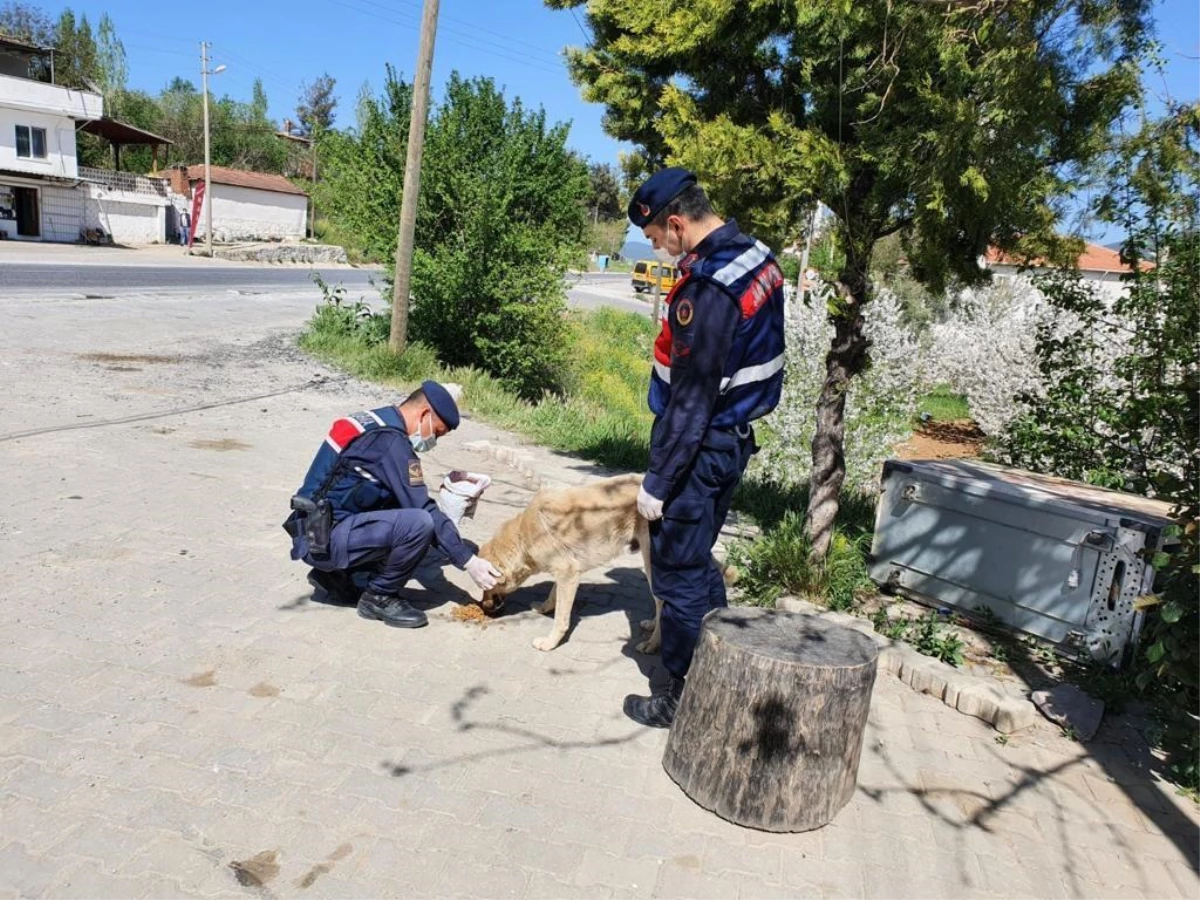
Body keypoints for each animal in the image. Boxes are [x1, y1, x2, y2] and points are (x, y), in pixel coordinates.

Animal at [475, 472, 662, 657]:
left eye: (484, 586)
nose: (483, 607)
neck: (523, 536)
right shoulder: (565, 574)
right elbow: (553, 595)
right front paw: (544, 608)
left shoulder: (567, 573)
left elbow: (561, 618)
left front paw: (550, 643)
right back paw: (651, 625)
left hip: (651, 566)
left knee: (661, 603)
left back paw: (652, 643)